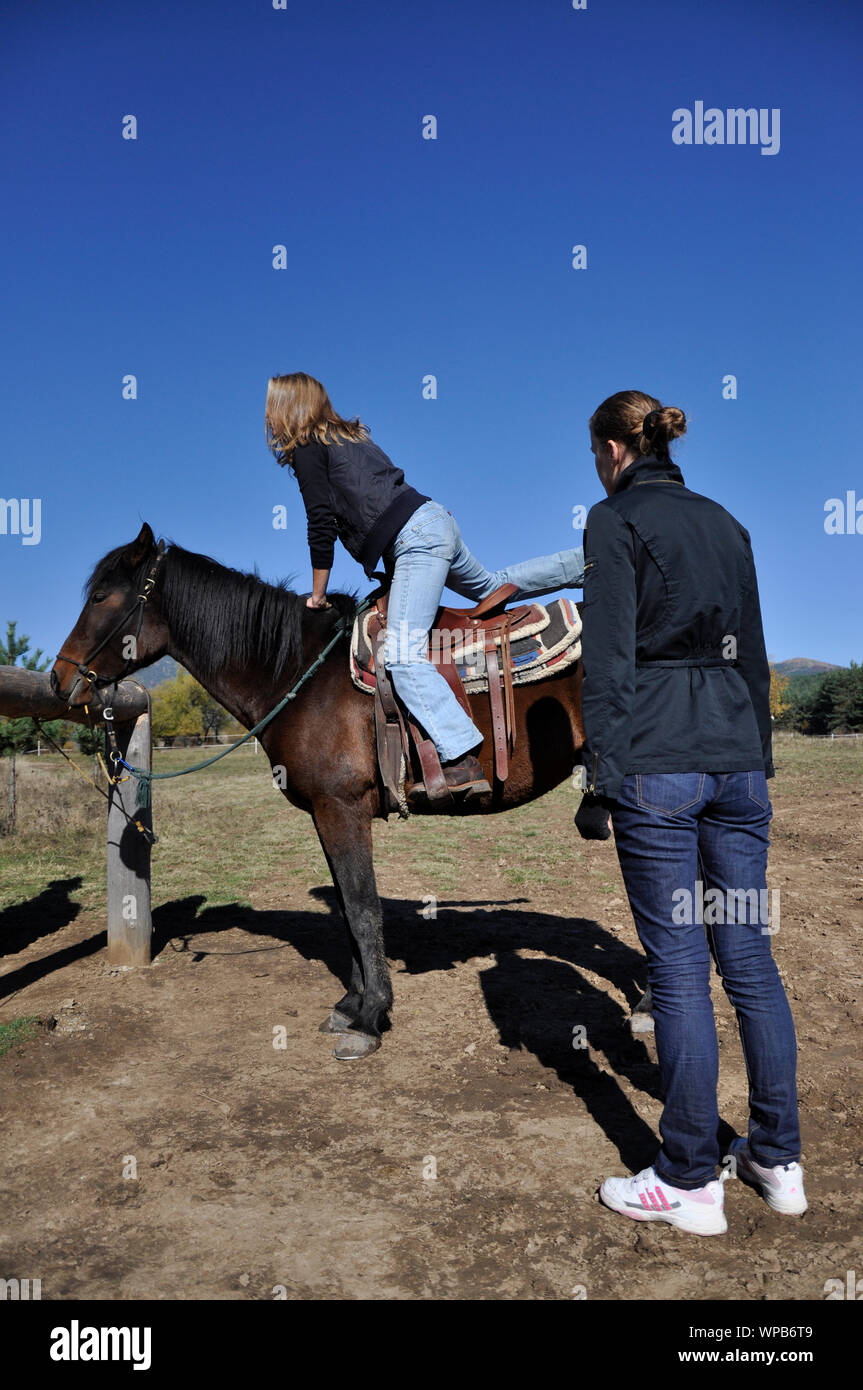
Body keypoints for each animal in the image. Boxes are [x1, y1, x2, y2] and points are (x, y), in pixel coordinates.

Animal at [48, 525, 586, 1056]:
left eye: (100, 596)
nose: (59, 679)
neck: (301, 674)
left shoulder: (341, 809)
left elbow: (364, 907)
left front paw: (371, 1017)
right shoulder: (324, 815)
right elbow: (346, 908)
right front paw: (351, 1004)